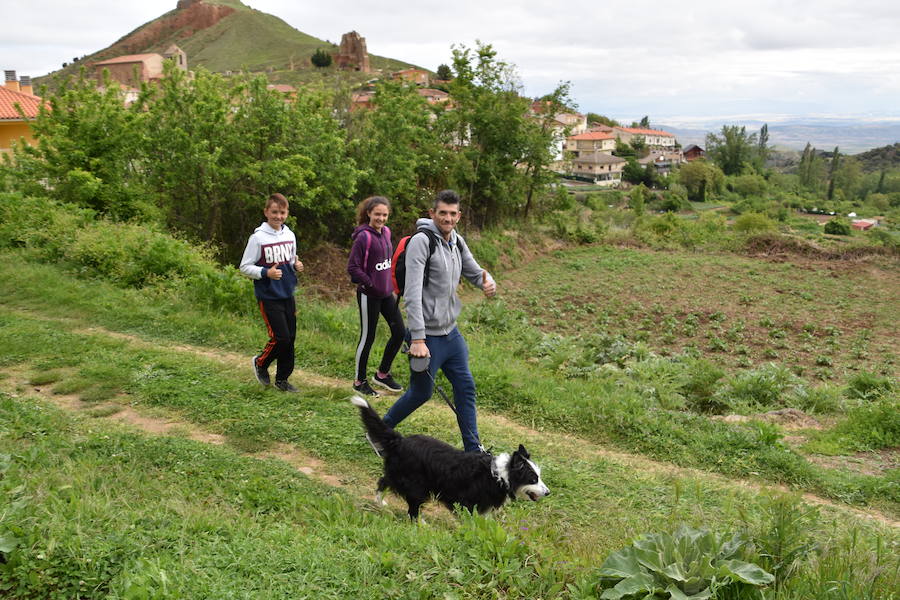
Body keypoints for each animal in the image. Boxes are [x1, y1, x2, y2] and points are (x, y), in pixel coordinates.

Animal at [350, 394, 548, 520]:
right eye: (533, 479)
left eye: (539, 477)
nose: (548, 492)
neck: (500, 476)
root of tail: (400, 440)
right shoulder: (466, 501)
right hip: (417, 484)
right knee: (413, 507)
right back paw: (421, 524)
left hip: (400, 475)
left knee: (383, 481)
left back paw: (380, 502)